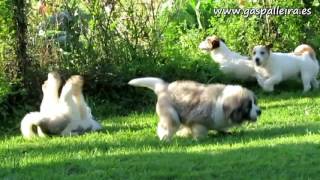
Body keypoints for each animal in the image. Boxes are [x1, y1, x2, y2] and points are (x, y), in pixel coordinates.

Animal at [129, 77, 262, 141]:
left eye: (255, 102)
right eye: (249, 106)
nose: (260, 111)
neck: (221, 103)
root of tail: (164, 87)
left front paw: (225, 132)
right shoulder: (198, 121)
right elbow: (200, 131)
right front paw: (199, 139)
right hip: (171, 115)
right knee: (167, 126)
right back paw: (165, 138)